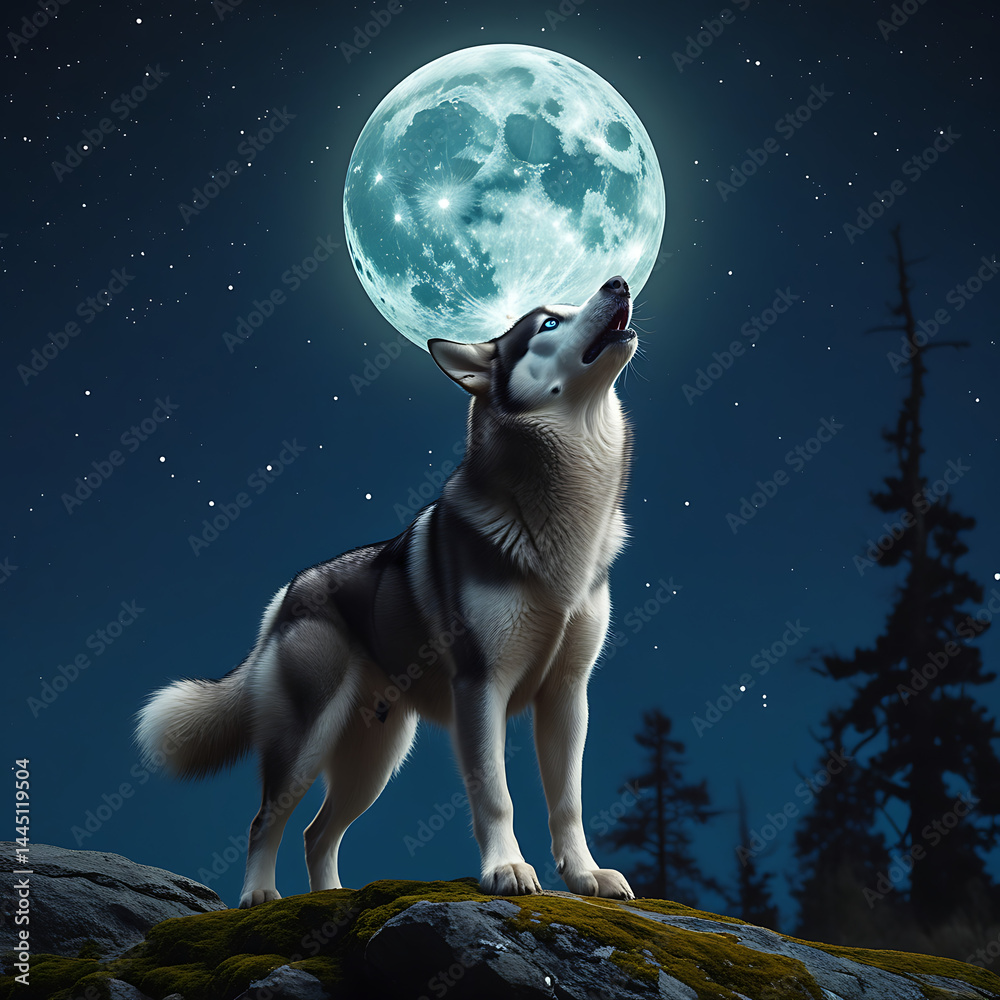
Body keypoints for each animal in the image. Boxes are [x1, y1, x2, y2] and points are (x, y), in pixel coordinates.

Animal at [136, 275, 638, 907]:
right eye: (548, 322)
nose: (619, 281)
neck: (562, 525)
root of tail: (287, 593)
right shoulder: (481, 687)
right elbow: (495, 795)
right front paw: (505, 869)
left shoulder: (568, 694)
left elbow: (568, 801)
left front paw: (586, 876)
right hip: (308, 742)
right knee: (265, 820)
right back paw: (259, 896)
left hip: (375, 759)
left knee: (316, 833)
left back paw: (330, 896)